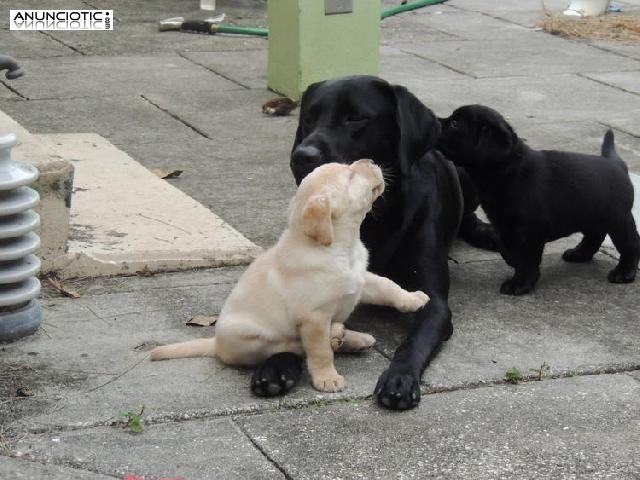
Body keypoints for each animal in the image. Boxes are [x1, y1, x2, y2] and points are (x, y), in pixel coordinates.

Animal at [152, 159, 428, 392]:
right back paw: (336, 338)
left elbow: (387, 285)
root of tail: (216, 344)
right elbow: (319, 351)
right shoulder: (314, 317)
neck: (341, 247)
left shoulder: (361, 279)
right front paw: (327, 378)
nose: (370, 160)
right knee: (287, 346)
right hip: (248, 336)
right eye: (350, 176)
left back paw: (349, 336)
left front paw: (413, 298)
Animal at [249, 75, 496, 408]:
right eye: (309, 118)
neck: (370, 221)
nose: (303, 155)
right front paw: (277, 365)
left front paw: (400, 377)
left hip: (468, 177)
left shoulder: (434, 302)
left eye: (356, 118)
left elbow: (413, 342)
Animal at [440, 103, 640, 294]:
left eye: (455, 123)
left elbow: (527, 259)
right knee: (595, 235)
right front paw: (513, 261)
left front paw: (520, 283)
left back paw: (624, 272)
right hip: (591, 215)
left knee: (630, 244)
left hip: (618, 219)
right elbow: (506, 247)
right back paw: (580, 254)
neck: (508, 170)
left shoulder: (531, 231)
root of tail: (618, 166)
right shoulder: (505, 226)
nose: (435, 120)